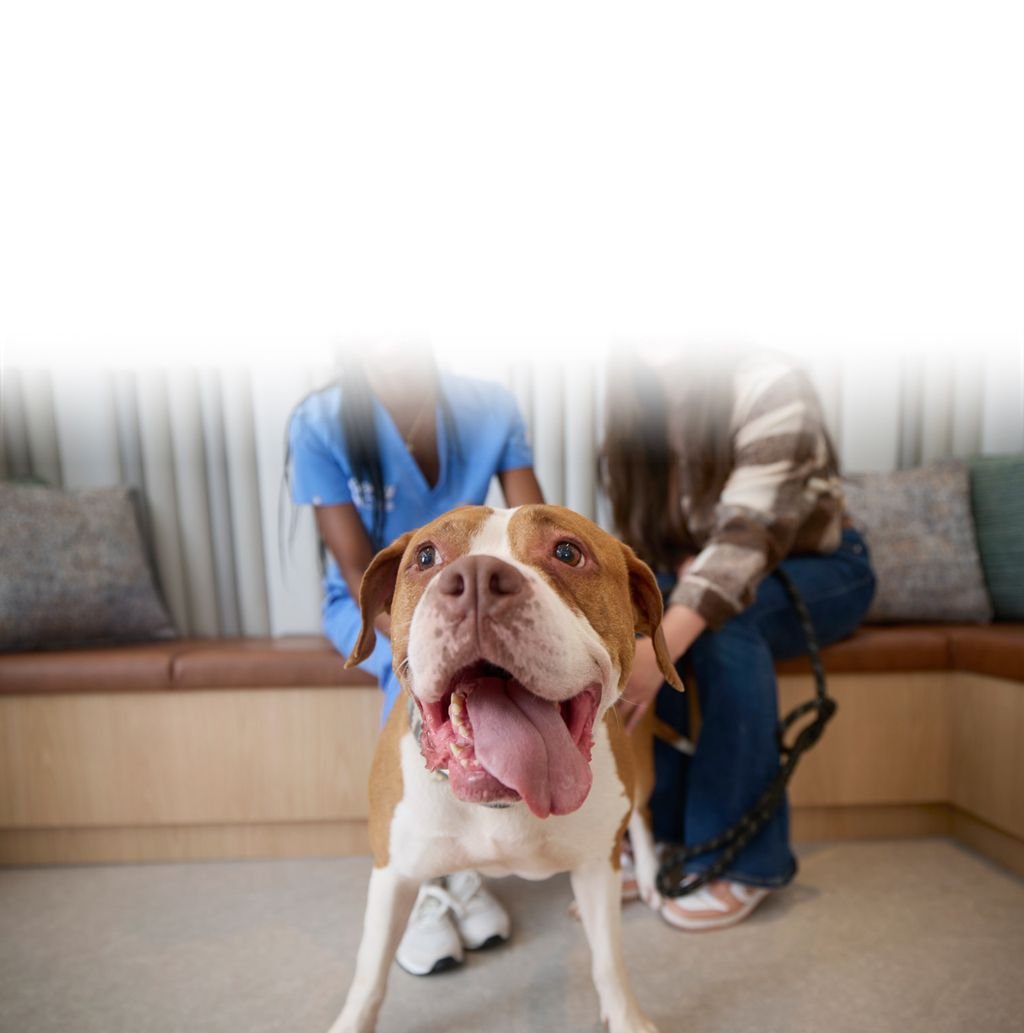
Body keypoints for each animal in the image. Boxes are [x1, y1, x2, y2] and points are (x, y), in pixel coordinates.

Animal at [328, 502, 681, 1033]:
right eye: (426, 556)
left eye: (567, 552)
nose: (476, 579)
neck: (502, 802)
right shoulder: (393, 871)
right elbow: (370, 970)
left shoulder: (597, 866)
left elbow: (609, 962)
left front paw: (626, 1018)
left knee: (640, 817)